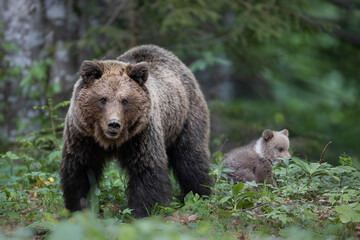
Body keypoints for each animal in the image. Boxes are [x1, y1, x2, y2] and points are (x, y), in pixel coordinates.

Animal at [59, 44, 214, 218]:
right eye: (102, 99)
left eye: (125, 100)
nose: (114, 124)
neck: (112, 141)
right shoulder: (83, 136)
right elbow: (80, 170)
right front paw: (78, 208)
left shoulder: (141, 135)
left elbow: (146, 170)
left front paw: (144, 211)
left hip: (185, 119)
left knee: (190, 158)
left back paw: (200, 194)